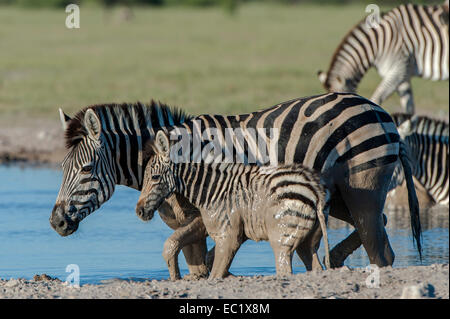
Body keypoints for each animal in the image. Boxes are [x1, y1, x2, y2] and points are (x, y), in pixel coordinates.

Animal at [136, 131, 330, 278]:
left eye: (154, 177)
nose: (139, 211)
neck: (214, 189)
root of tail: (314, 190)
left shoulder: (228, 237)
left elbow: (215, 275)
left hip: (282, 240)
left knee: (284, 269)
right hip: (307, 241)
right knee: (314, 266)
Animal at [318, 0, 448, 114]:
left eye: (342, 104)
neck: (379, 43)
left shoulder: (399, 71)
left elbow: (376, 98)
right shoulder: (404, 76)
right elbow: (409, 108)